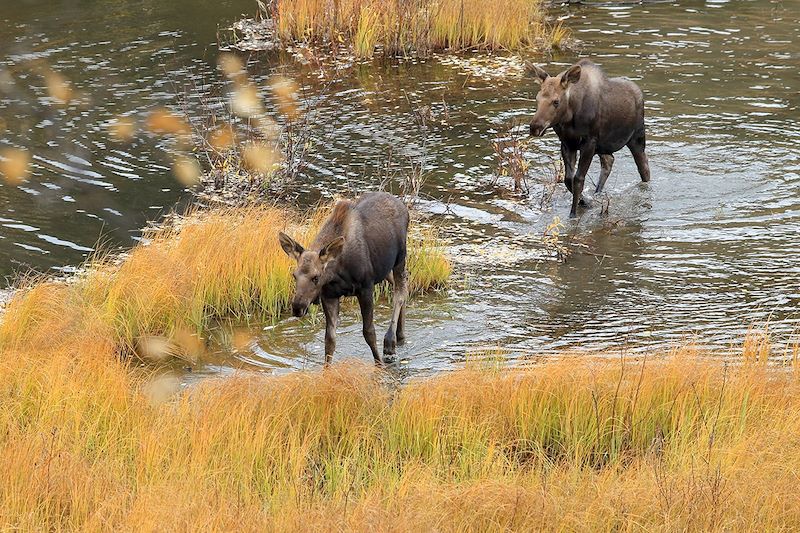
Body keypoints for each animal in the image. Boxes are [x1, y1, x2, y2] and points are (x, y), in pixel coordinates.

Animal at [278, 192, 410, 366]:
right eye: (294, 275)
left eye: (316, 277)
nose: (297, 307)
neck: (337, 272)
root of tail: (404, 207)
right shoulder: (329, 295)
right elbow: (329, 340)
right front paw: (326, 370)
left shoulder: (366, 288)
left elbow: (369, 332)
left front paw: (379, 364)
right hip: (384, 268)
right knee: (402, 286)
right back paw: (400, 335)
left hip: (400, 258)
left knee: (400, 292)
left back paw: (390, 343)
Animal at [528, 58, 652, 216]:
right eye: (537, 99)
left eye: (556, 101)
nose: (535, 127)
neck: (569, 116)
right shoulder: (567, 143)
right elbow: (568, 179)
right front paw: (585, 201)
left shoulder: (589, 142)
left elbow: (578, 179)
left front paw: (573, 214)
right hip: (603, 146)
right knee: (609, 160)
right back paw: (597, 192)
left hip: (637, 138)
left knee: (644, 167)